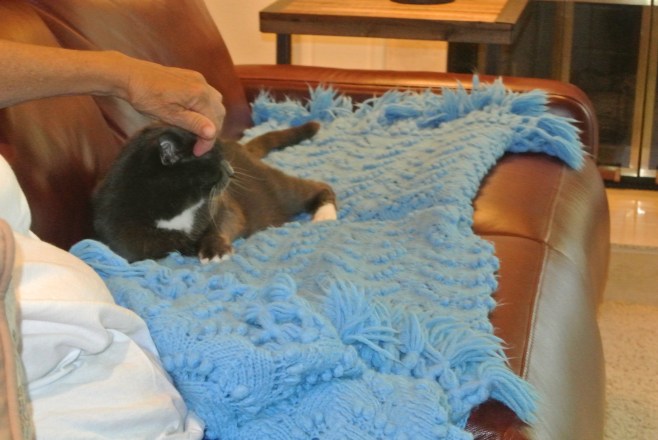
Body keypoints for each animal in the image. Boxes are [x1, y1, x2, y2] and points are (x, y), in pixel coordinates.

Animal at [92, 121, 336, 262]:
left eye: (222, 155)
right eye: (213, 157)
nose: (231, 171)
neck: (179, 206)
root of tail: (242, 147)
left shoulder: (222, 204)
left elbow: (224, 222)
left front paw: (214, 250)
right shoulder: (115, 227)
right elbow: (138, 248)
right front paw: (185, 246)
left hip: (275, 190)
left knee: (318, 187)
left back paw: (325, 216)